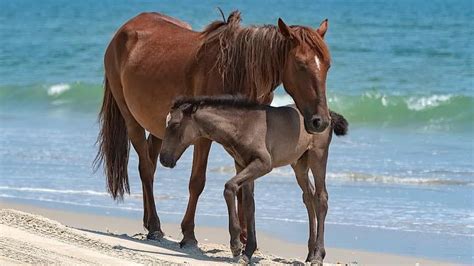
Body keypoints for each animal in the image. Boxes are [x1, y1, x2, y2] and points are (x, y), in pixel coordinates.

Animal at [94, 9, 332, 247]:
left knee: (150, 166)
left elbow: (244, 187)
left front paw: (243, 237)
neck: (237, 70)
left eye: (328, 65)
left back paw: (148, 221)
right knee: (145, 169)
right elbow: (197, 182)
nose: (321, 121)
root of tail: (125, 28)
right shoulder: (202, 136)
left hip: (157, 129)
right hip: (131, 120)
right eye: (300, 64)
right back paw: (154, 226)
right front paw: (189, 234)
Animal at [159, 95, 348, 264]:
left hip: (318, 156)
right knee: (309, 196)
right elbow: (249, 204)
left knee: (321, 198)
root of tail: (328, 114)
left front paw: (236, 245)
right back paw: (309, 253)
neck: (243, 127)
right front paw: (247, 252)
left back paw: (318, 256)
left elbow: (229, 187)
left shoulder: (264, 163)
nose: (163, 159)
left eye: (174, 124)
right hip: (299, 164)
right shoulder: (242, 165)